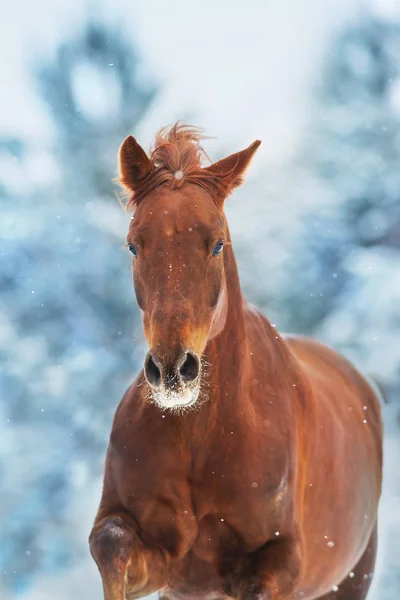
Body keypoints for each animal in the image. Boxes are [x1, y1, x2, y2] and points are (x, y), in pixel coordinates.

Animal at [89, 123, 382, 600]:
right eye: (134, 246)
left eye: (217, 245)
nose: (173, 370)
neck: (200, 437)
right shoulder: (157, 558)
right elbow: (110, 543)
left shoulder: (275, 563)